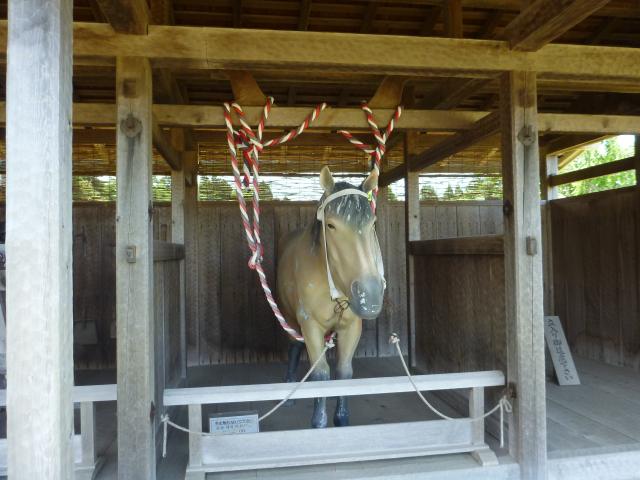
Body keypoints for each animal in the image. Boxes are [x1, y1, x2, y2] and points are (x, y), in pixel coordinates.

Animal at [277, 166, 385, 428]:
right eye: (331, 225)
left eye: (372, 223)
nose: (369, 295)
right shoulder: (310, 324)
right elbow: (321, 373)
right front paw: (319, 422)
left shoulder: (351, 325)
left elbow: (344, 372)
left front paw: (341, 418)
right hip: (289, 317)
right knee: (294, 346)